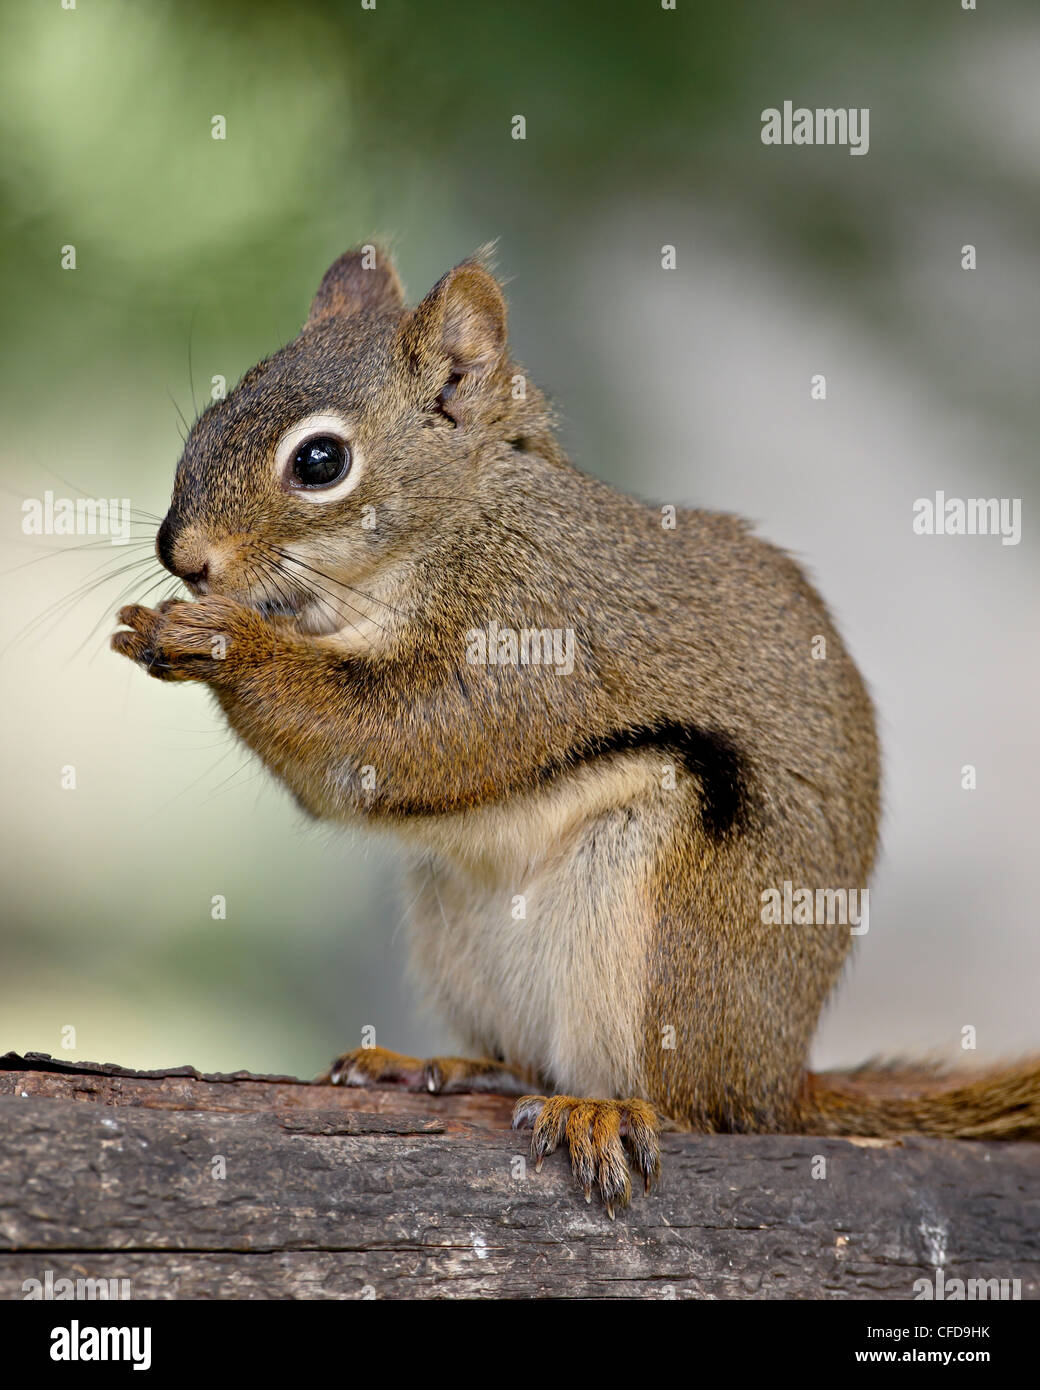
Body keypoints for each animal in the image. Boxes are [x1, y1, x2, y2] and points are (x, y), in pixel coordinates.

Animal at [113, 245, 1040, 1216]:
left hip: (656, 931)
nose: (184, 557)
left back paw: (603, 1108)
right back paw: (442, 1066)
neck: (458, 521)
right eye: (210, 415)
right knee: (529, 1061)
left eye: (321, 460)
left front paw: (217, 639)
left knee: (683, 1105)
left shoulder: (535, 630)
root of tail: (772, 1080)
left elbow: (399, 734)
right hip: (454, 924)